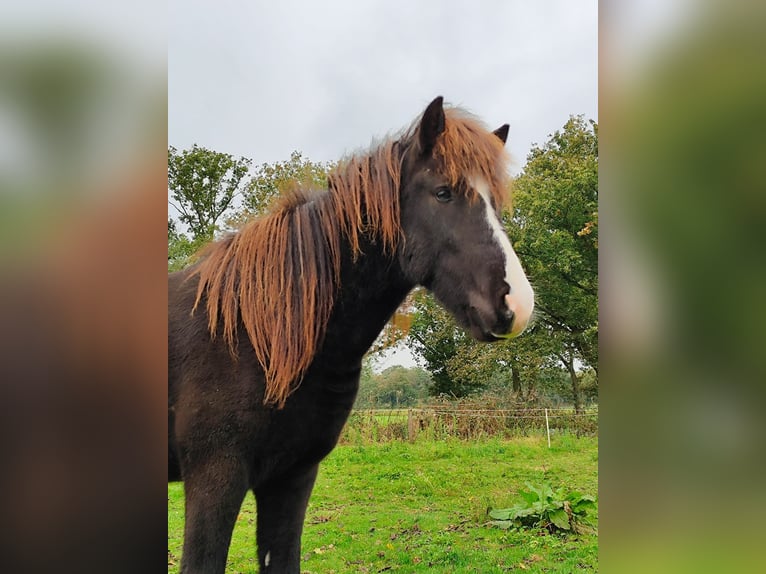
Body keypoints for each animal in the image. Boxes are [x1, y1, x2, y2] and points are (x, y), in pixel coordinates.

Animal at [170, 97, 536, 572]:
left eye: (494, 201)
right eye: (443, 192)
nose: (517, 304)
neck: (256, 335)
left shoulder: (291, 478)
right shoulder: (215, 478)